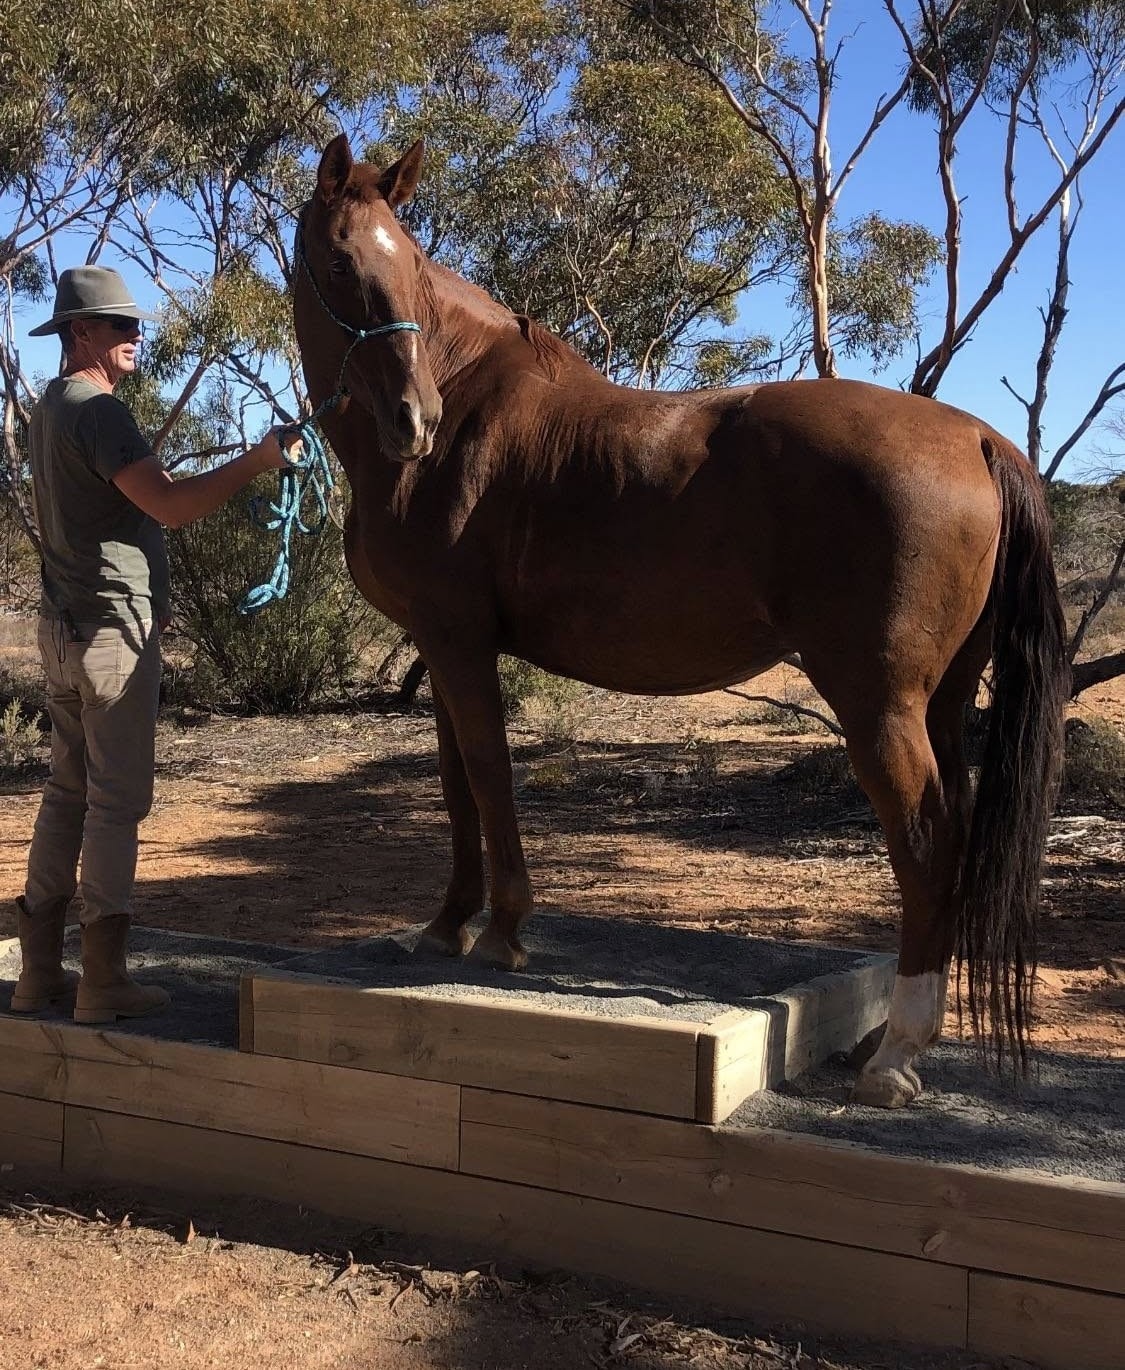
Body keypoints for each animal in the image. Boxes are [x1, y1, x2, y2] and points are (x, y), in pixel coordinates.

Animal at [292, 133, 1069, 1108]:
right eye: (341, 263)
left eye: (412, 269)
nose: (413, 420)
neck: (462, 410)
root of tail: (976, 436)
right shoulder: (442, 647)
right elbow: (456, 787)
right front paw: (445, 926)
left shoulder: (461, 646)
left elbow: (490, 778)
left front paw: (503, 932)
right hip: (942, 699)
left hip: (877, 701)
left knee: (926, 842)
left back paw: (894, 1055)